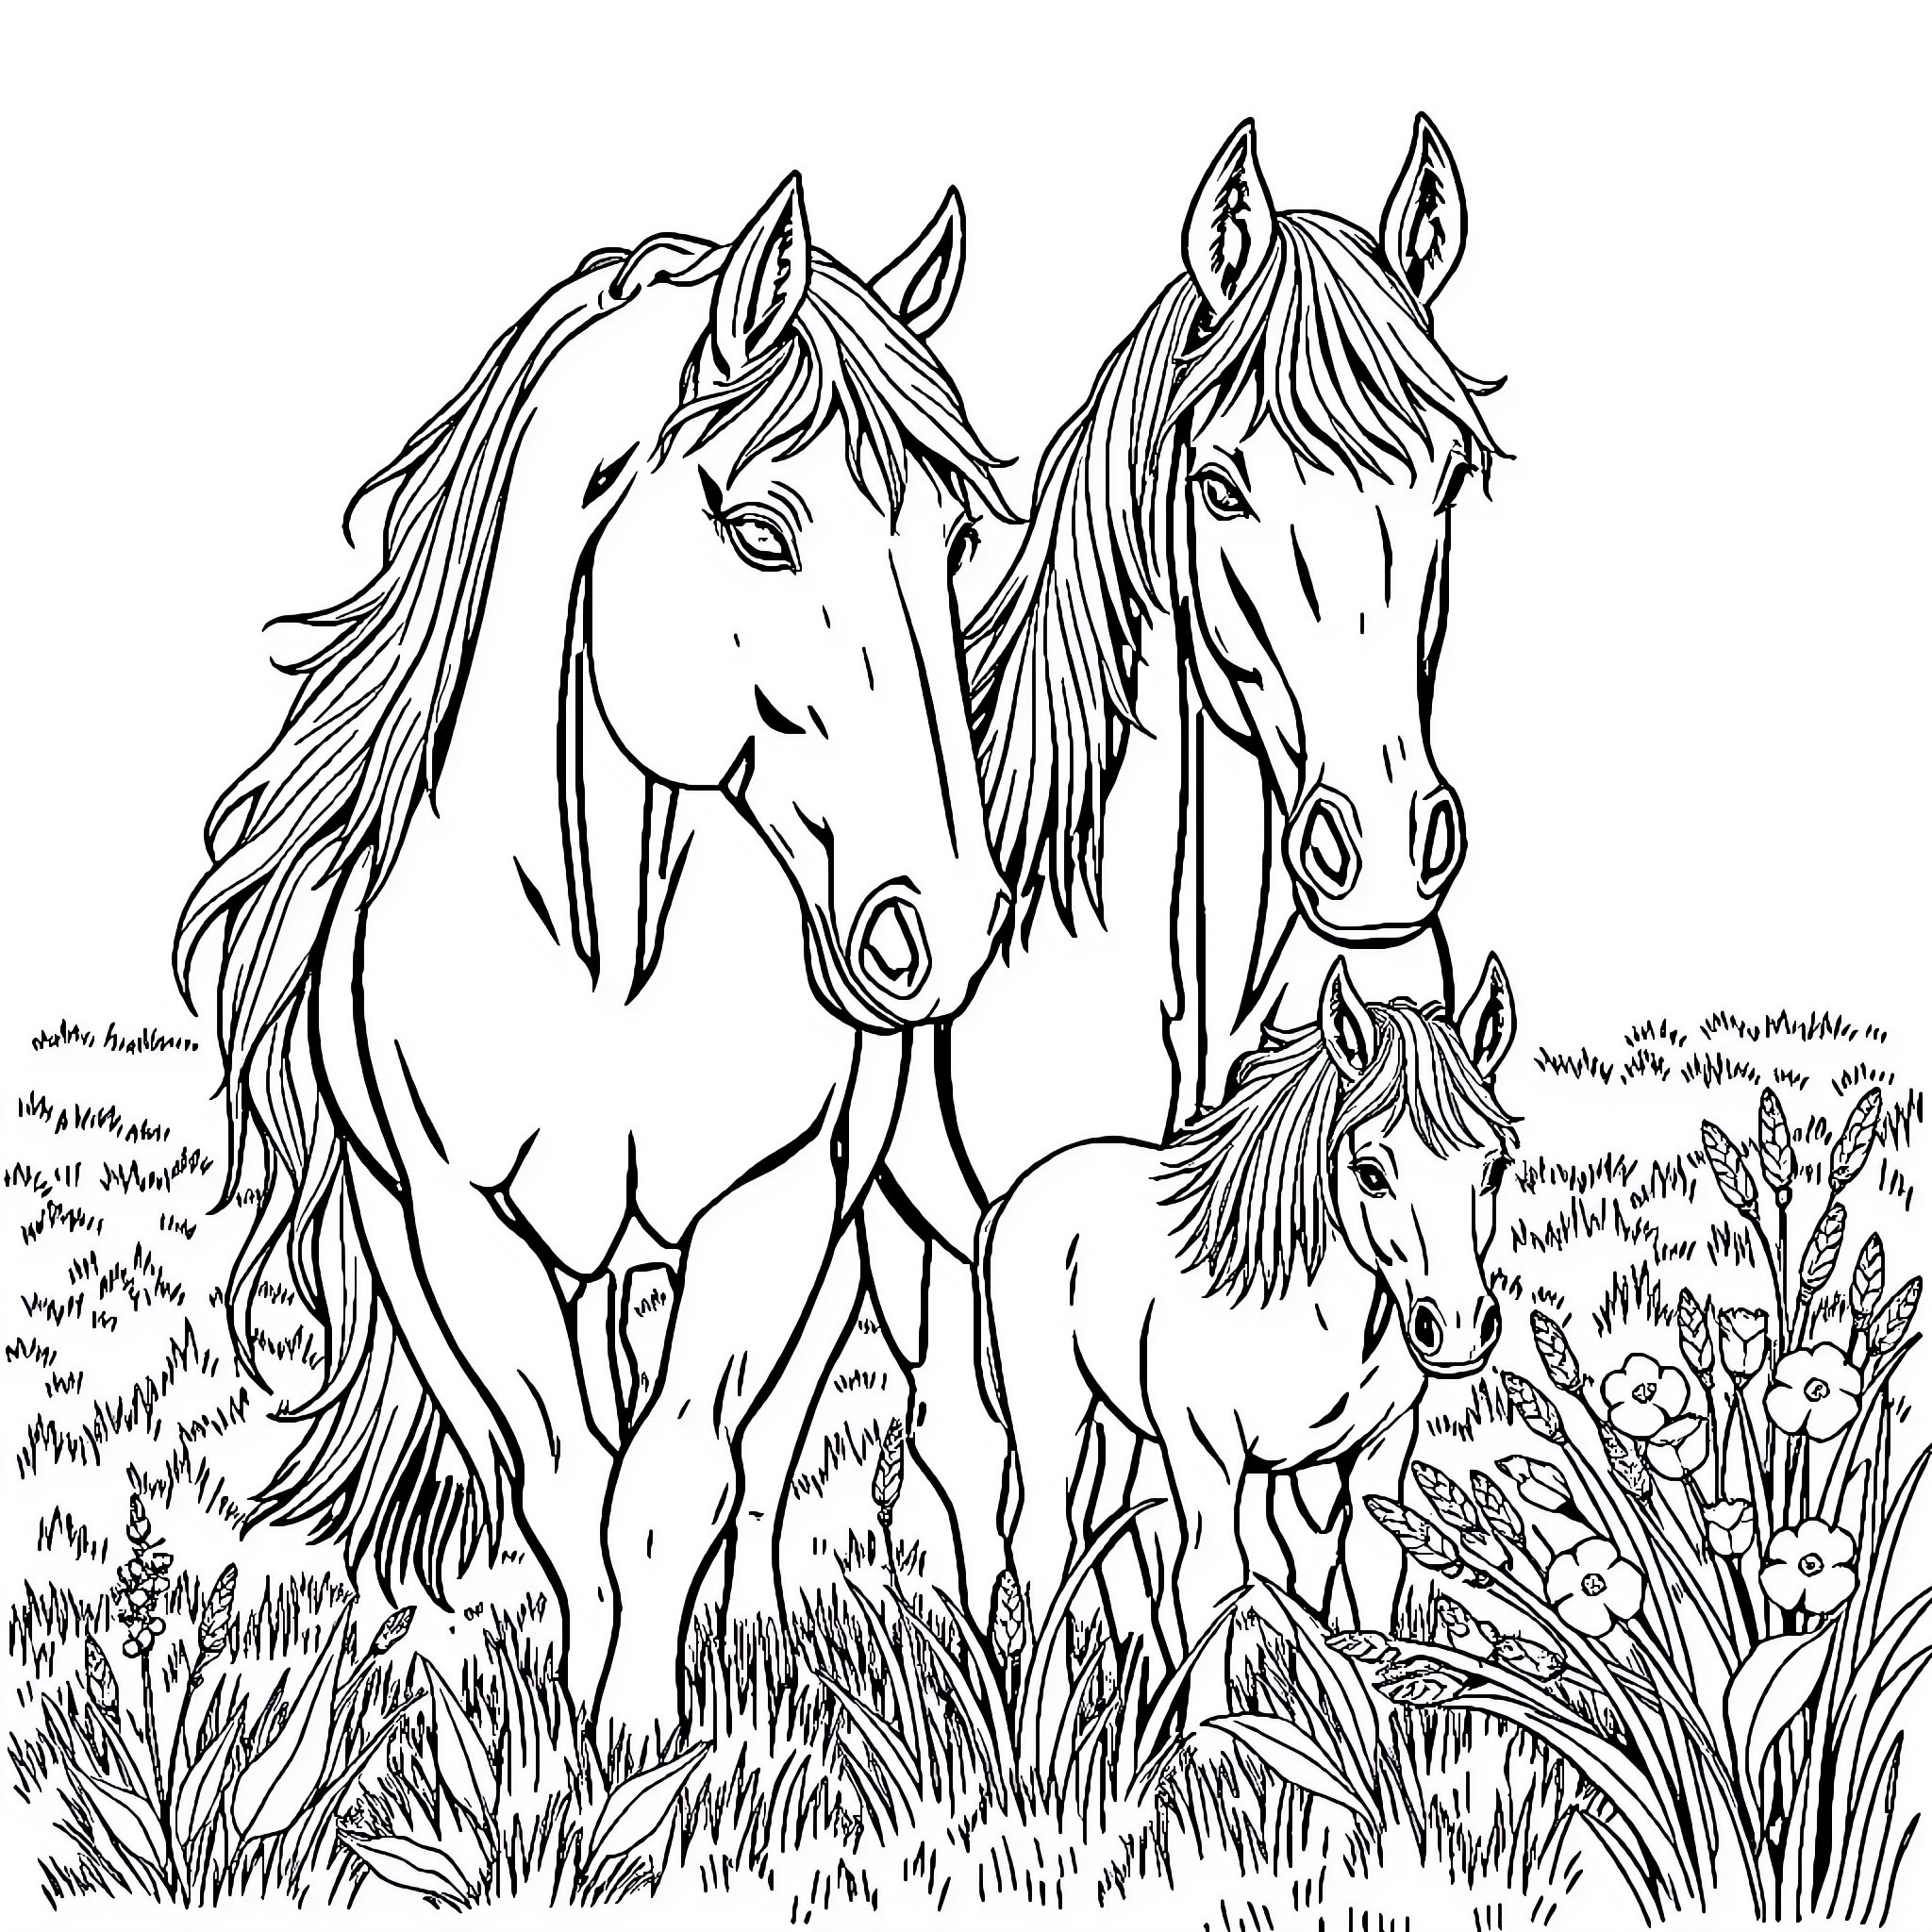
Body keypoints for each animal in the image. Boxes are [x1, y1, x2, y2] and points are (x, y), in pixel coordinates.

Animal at [173, 173, 1015, 1746]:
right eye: (760, 530)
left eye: (947, 544)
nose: (936, 922)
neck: (605, 949)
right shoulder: (460, 1227)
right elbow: (566, 1484)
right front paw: (583, 1736)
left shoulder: (773, 1206)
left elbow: (678, 1481)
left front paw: (650, 1737)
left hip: (853, 1219)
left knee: (783, 1448)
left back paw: (765, 1641)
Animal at [977, 955, 1519, 1707]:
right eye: (1370, 1171)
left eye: (1493, 1167)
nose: (1461, 1329)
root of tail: (1021, 1191)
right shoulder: (1207, 1453)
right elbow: (1213, 1585)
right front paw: (1208, 1735)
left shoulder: (1371, 1455)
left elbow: (1358, 1574)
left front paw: (1372, 1718)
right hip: (1052, 1415)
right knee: (1042, 1542)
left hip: (1118, 1424)